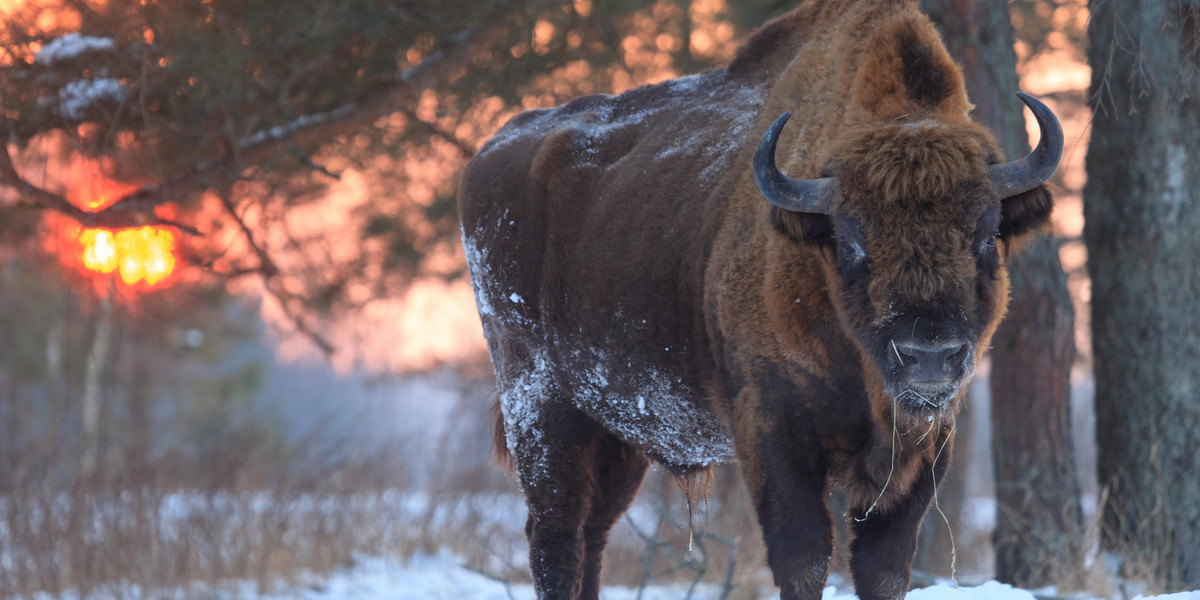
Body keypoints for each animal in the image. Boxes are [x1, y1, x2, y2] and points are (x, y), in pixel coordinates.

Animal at [456, 1, 1060, 600]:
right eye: (850, 240)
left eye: (987, 236)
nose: (929, 354)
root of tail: (488, 154)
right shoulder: (775, 434)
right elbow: (804, 559)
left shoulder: (926, 447)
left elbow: (885, 567)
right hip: (540, 406)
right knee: (555, 533)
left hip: (612, 432)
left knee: (592, 532)